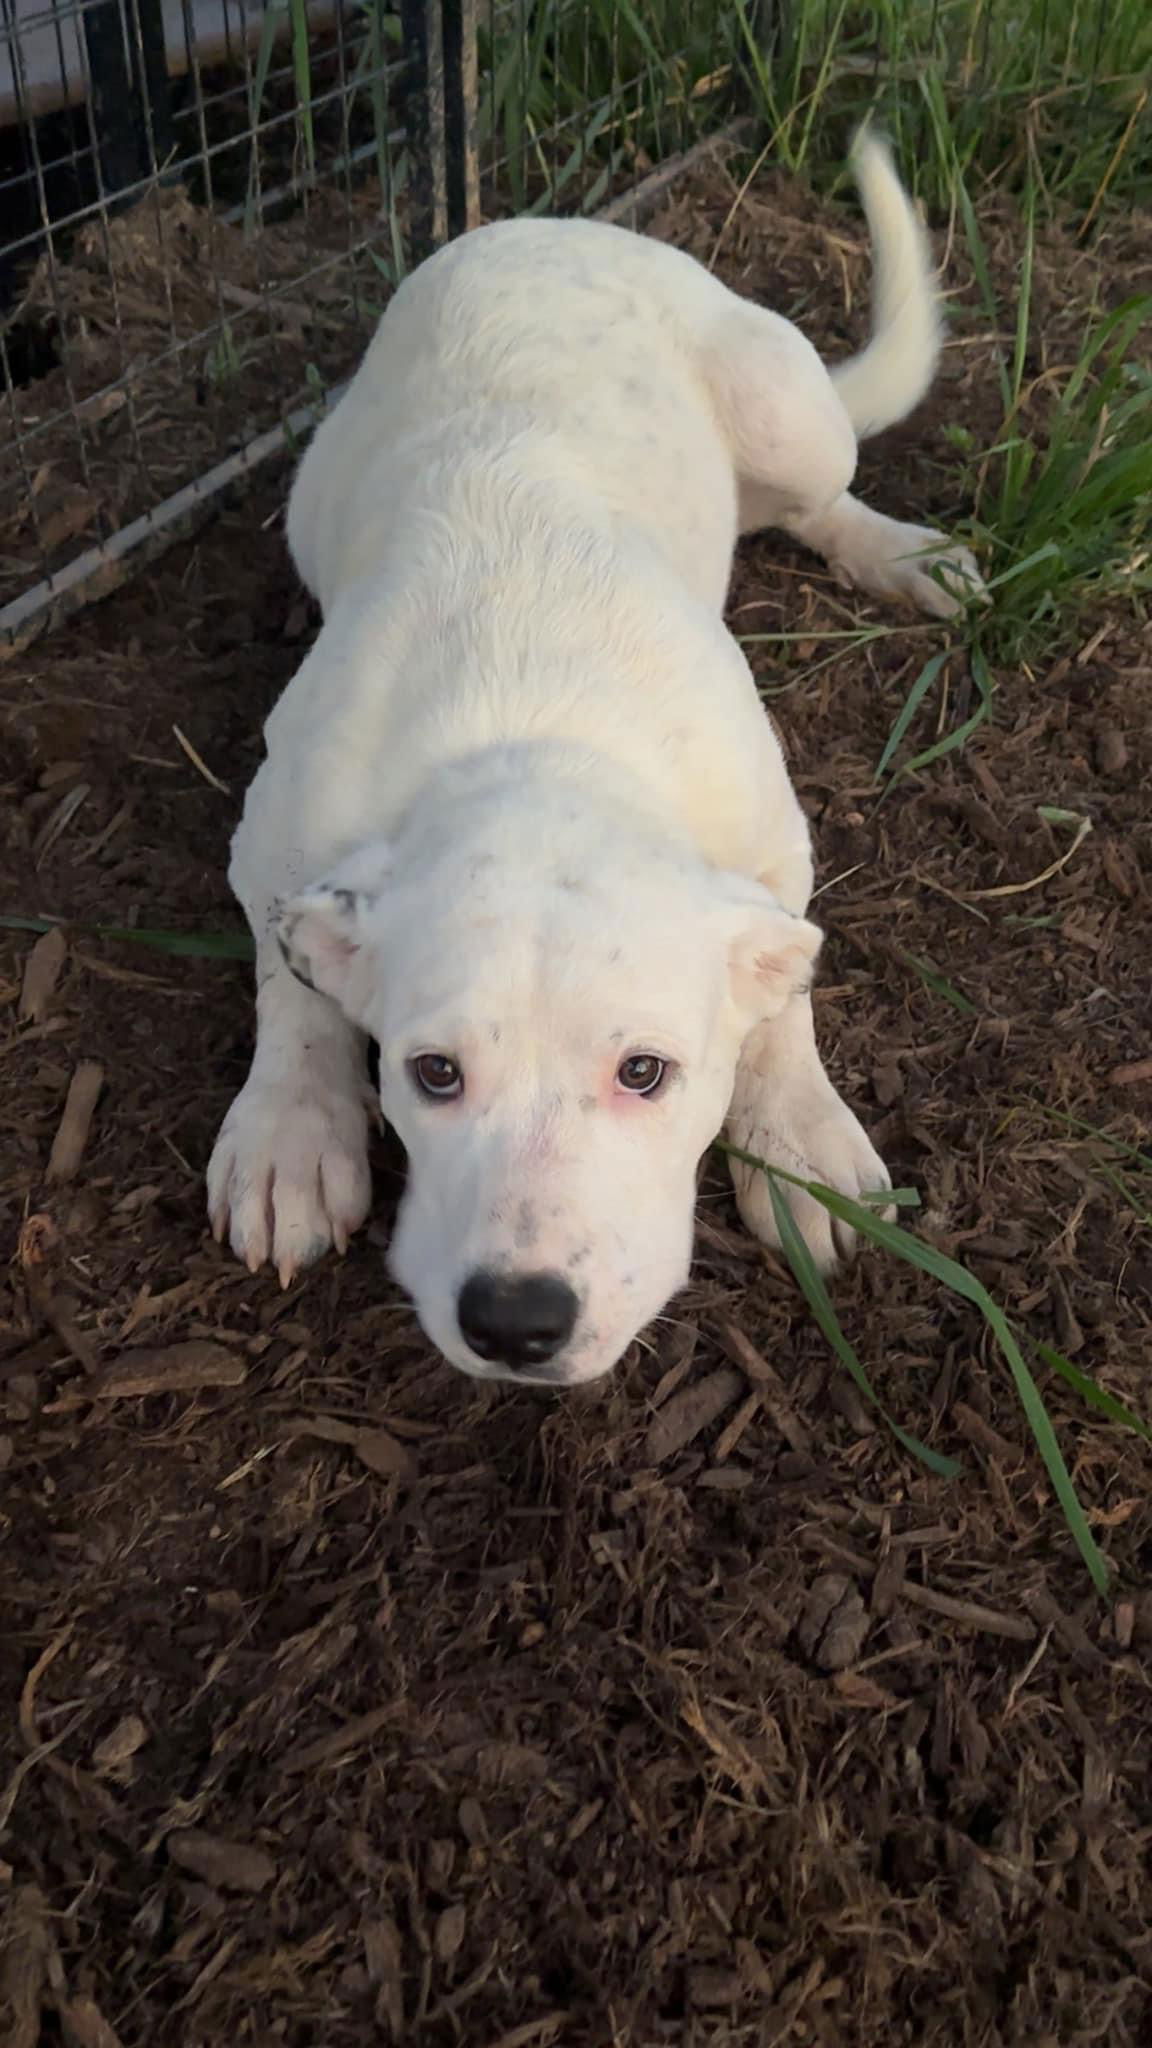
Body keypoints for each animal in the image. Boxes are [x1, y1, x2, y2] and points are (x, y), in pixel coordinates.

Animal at [206, 136, 975, 1384]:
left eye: (645, 1072)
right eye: (431, 1072)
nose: (516, 1319)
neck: (540, 727)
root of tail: (557, 225)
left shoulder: (774, 843)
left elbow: (783, 995)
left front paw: (795, 1129)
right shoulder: (275, 828)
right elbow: (295, 978)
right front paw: (292, 1128)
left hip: (786, 404)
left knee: (817, 497)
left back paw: (898, 551)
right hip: (312, 490)